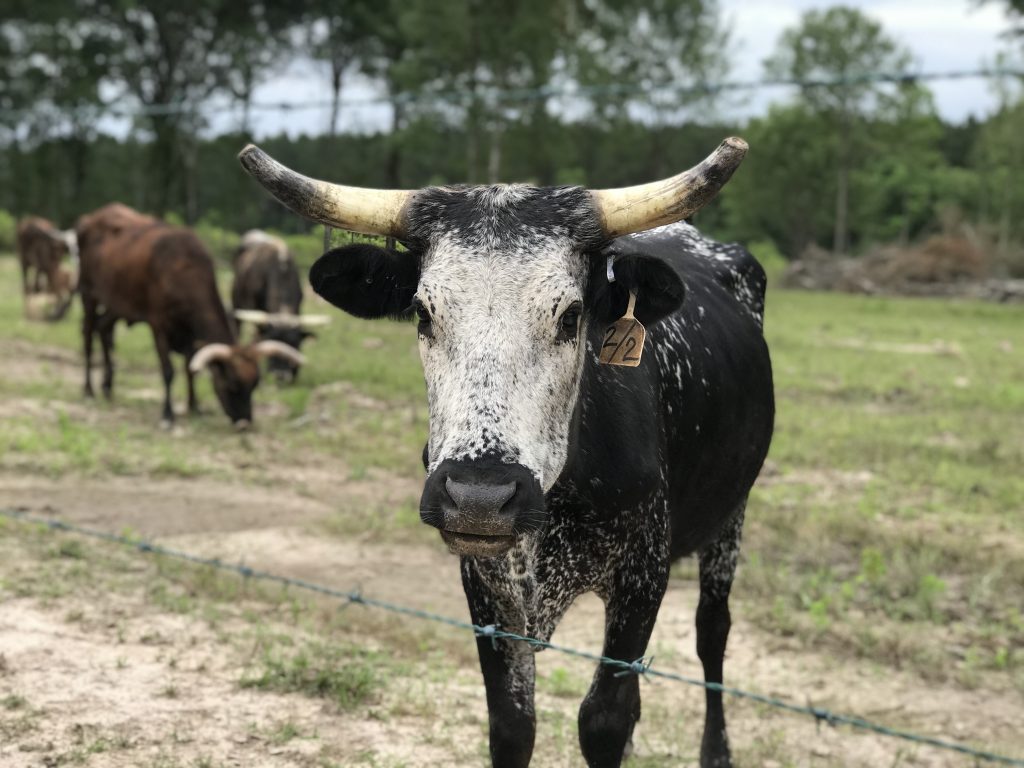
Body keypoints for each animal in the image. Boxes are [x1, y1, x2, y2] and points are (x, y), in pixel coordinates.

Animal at [75, 203, 305, 429]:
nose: (244, 422)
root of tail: (91, 218)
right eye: (231, 385)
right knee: (88, 337)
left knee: (103, 328)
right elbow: (168, 371)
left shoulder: (189, 333)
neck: (183, 271)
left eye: (255, 384)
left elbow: (189, 369)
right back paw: (88, 389)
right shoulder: (158, 325)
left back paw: (107, 386)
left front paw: (194, 406)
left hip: (117, 302)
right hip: (88, 293)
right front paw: (167, 414)